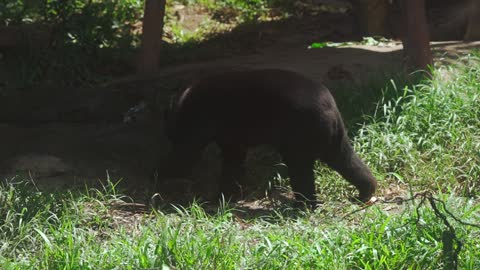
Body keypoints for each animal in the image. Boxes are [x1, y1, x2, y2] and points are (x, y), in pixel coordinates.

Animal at [163, 68, 376, 207]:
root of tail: (332, 109)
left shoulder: (197, 129)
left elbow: (186, 154)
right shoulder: (232, 141)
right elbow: (233, 164)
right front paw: (227, 196)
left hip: (299, 142)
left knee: (302, 174)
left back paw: (303, 205)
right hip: (333, 143)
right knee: (349, 163)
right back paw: (366, 192)